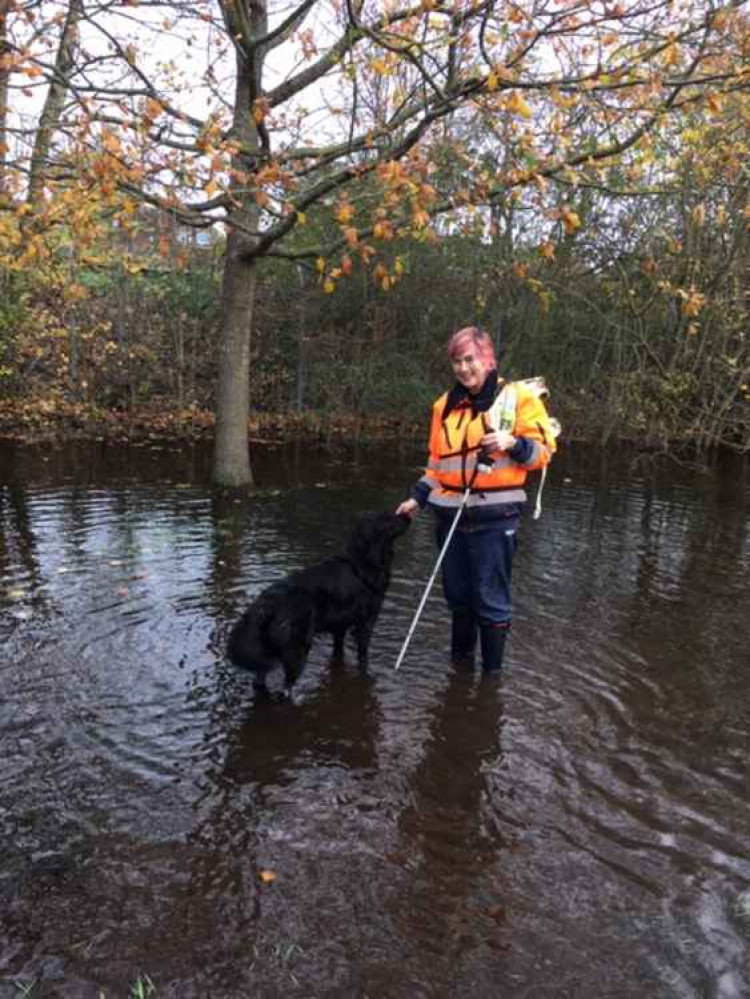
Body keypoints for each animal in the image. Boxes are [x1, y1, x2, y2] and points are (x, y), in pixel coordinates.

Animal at [228, 516, 412, 696]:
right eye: (388, 518)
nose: (408, 516)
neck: (363, 560)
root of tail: (266, 605)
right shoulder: (365, 623)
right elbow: (363, 658)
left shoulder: (340, 628)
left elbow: (338, 654)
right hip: (297, 651)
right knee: (285, 689)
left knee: (259, 681)